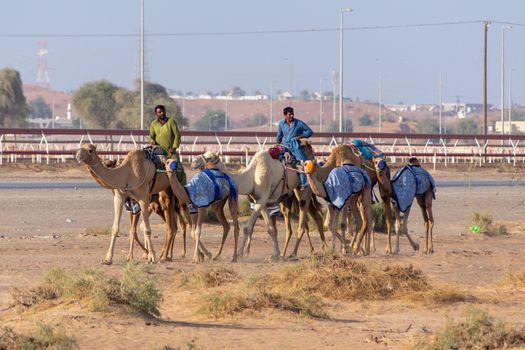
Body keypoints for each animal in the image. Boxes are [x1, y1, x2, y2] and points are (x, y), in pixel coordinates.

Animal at [190, 142, 326, 260]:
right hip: (294, 194)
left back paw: (294, 253)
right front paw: (275, 255)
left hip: (305, 190)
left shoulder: (261, 200)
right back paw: (319, 249)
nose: (194, 162)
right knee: (314, 219)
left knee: (303, 222)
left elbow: (247, 228)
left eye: (209, 158)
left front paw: (239, 255)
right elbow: (270, 228)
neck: (251, 176)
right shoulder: (261, 201)